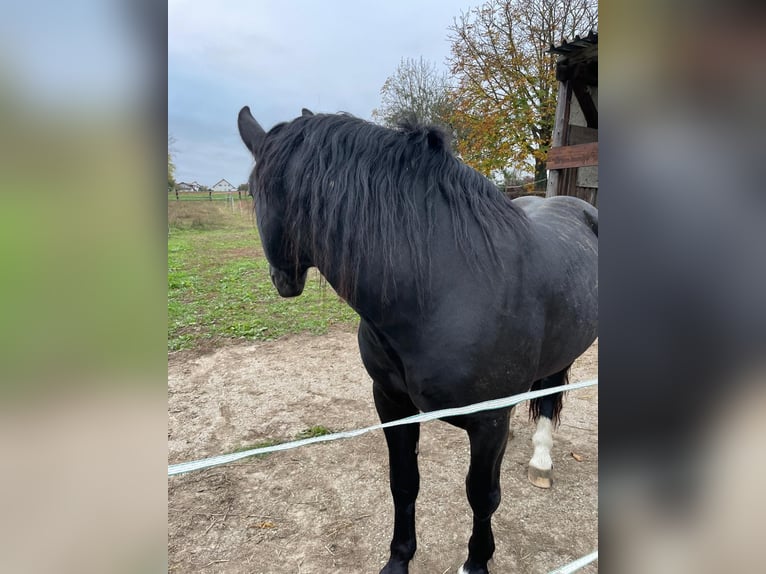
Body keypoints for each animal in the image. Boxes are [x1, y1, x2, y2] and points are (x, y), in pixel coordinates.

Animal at [237, 108, 596, 574]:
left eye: (253, 192)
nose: (280, 280)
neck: (445, 288)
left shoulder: (488, 421)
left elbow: (482, 496)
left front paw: (475, 564)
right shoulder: (392, 403)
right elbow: (404, 482)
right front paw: (398, 559)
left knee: (550, 399)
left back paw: (542, 460)